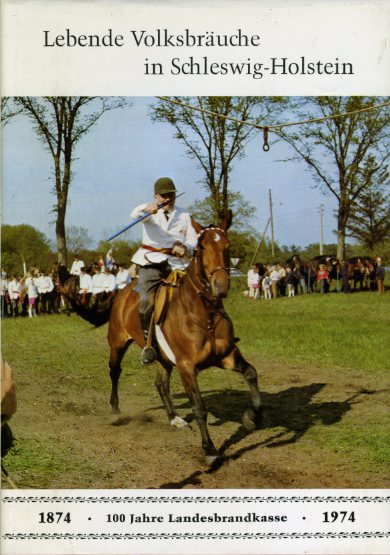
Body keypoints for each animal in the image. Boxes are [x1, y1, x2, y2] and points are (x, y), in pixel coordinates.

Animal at [61, 214, 262, 464]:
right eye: (202, 248)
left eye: (228, 246)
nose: (221, 286)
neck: (205, 314)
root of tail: (121, 292)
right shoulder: (187, 366)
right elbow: (199, 407)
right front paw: (210, 450)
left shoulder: (226, 356)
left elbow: (251, 373)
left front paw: (253, 417)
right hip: (117, 343)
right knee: (115, 372)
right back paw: (116, 411)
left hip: (164, 357)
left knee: (161, 383)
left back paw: (174, 418)